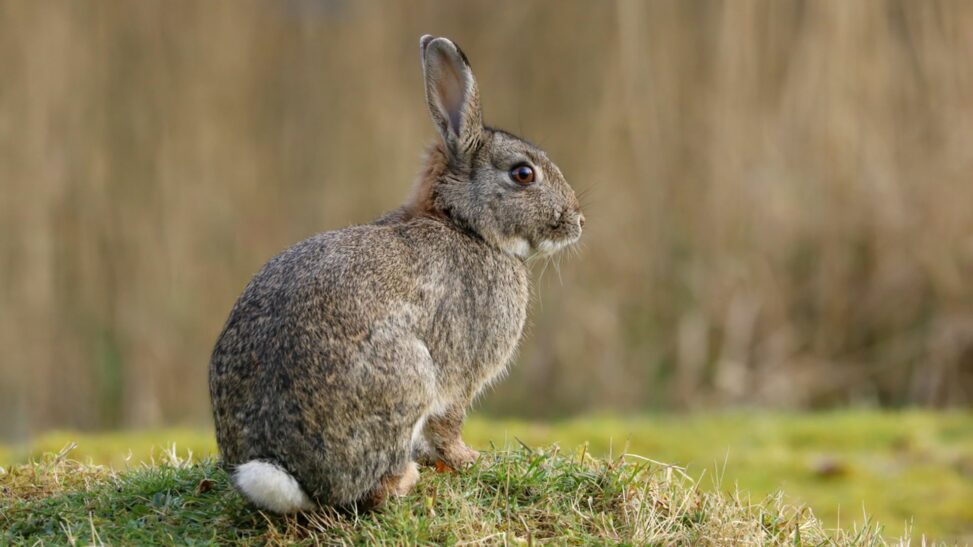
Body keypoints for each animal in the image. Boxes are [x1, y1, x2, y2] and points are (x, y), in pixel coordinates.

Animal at [209, 34, 585, 513]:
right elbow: (449, 425)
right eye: (523, 174)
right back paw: (404, 479)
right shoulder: (460, 376)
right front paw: (468, 459)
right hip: (409, 376)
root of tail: (287, 472)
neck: (465, 225)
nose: (578, 221)